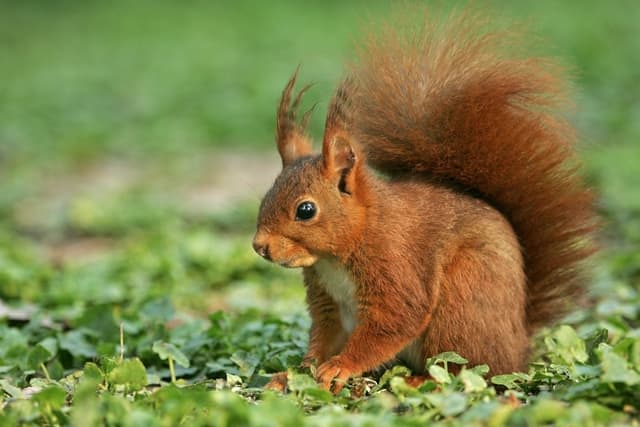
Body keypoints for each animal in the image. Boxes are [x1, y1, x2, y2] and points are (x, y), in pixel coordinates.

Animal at [253, 10, 597, 393]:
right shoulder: (328, 301)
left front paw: (340, 367)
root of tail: (518, 346)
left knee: (467, 372)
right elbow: (326, 338)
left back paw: (416, 380)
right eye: (267, 194)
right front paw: (294, 373)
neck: (343, 249)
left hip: (462, 302)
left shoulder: (395, 266)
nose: (259, 246)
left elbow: (397, 319)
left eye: (306, 210)